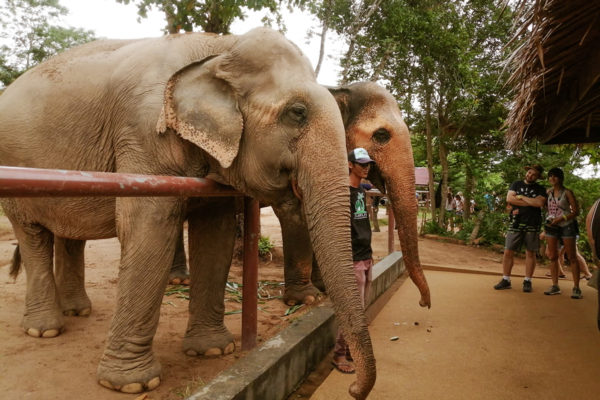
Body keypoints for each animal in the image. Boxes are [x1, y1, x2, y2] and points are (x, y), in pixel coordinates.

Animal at [0, 27, 376, 396]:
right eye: (297, 112)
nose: (352, 385)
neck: (222, 46)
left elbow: (214, 233)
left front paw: (213, 351)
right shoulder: (143, 133)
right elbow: (148, 227)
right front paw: (129, 384)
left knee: (68, 235)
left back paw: (77, 311)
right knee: (31, 233)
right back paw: (45, 330)